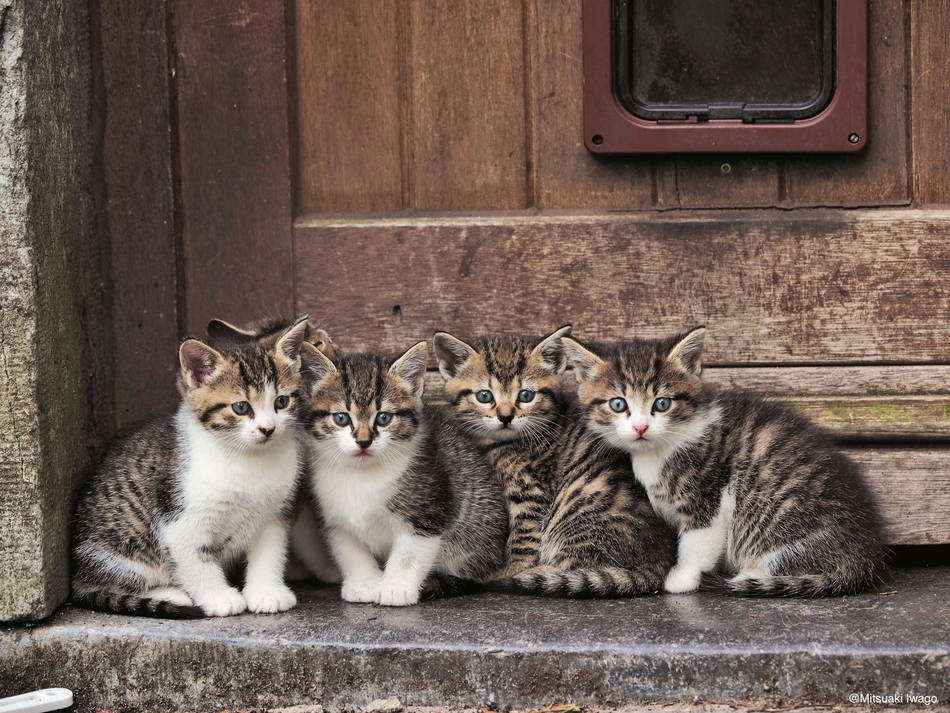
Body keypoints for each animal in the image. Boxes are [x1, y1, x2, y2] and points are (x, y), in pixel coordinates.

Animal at [70, 320, 308, 616]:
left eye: (281, 402)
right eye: (241, 407)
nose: (268, 428)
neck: (249, 459)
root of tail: (77, 576)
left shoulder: (274, 513)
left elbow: (270, 554)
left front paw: (267, 593)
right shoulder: (178, 518)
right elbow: (196, 560)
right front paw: (219, 598)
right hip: (121, 547)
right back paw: (172, 595)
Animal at [302, 342, 510, 604]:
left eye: (384, 418)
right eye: (341, 418)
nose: (364, 442)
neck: (363, 474)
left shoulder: (428, 509)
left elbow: (409, 554)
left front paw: (395, 588)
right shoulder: (336, 519)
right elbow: (350, 551)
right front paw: (363, 584)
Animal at [436, 324, 680, 596]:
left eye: (526, 395)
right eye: (485, 396)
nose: (506, 417)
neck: (501, 444)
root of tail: (661, 561)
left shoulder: (531, 492)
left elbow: (522, 540)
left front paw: (511, 570)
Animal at [560, 328, 888, 596]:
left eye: (662, 403)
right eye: (618, 404)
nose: (641, 427)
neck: (658, 450)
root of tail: (864, 553)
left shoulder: (712, 495)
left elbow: (698, 543)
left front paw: (683, 578)